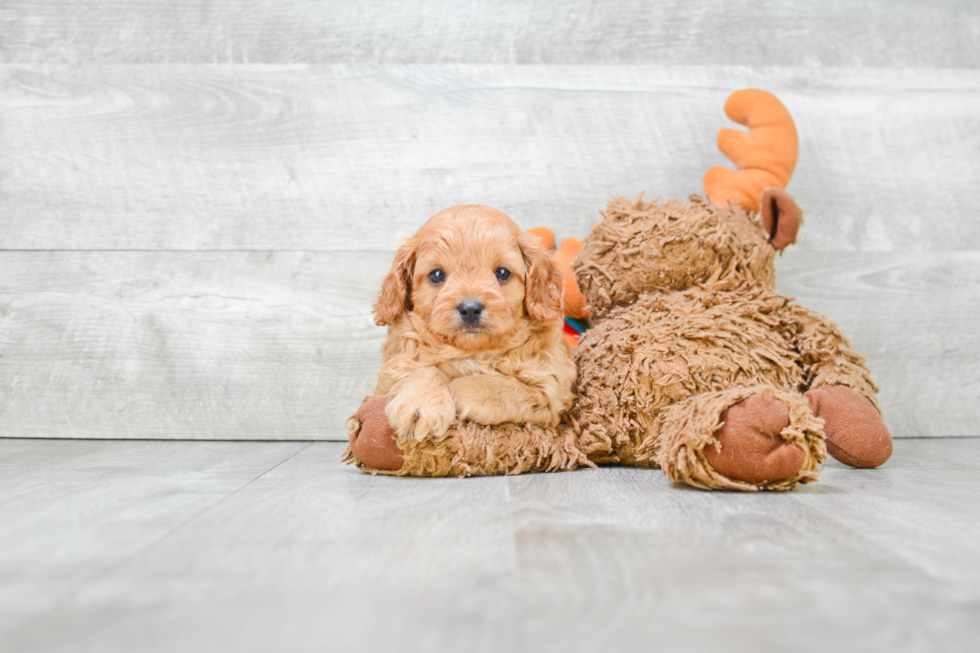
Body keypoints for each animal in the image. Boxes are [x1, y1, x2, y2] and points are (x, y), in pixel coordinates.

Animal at [374, 205, 576, 438]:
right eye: (436, 275)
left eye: (502, 273)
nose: (470, 309)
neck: (472, 352)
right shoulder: (393, 369)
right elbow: (420, 368)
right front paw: (421, 402)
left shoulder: (552, 390)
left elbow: (504, 386)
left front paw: (456, 388)